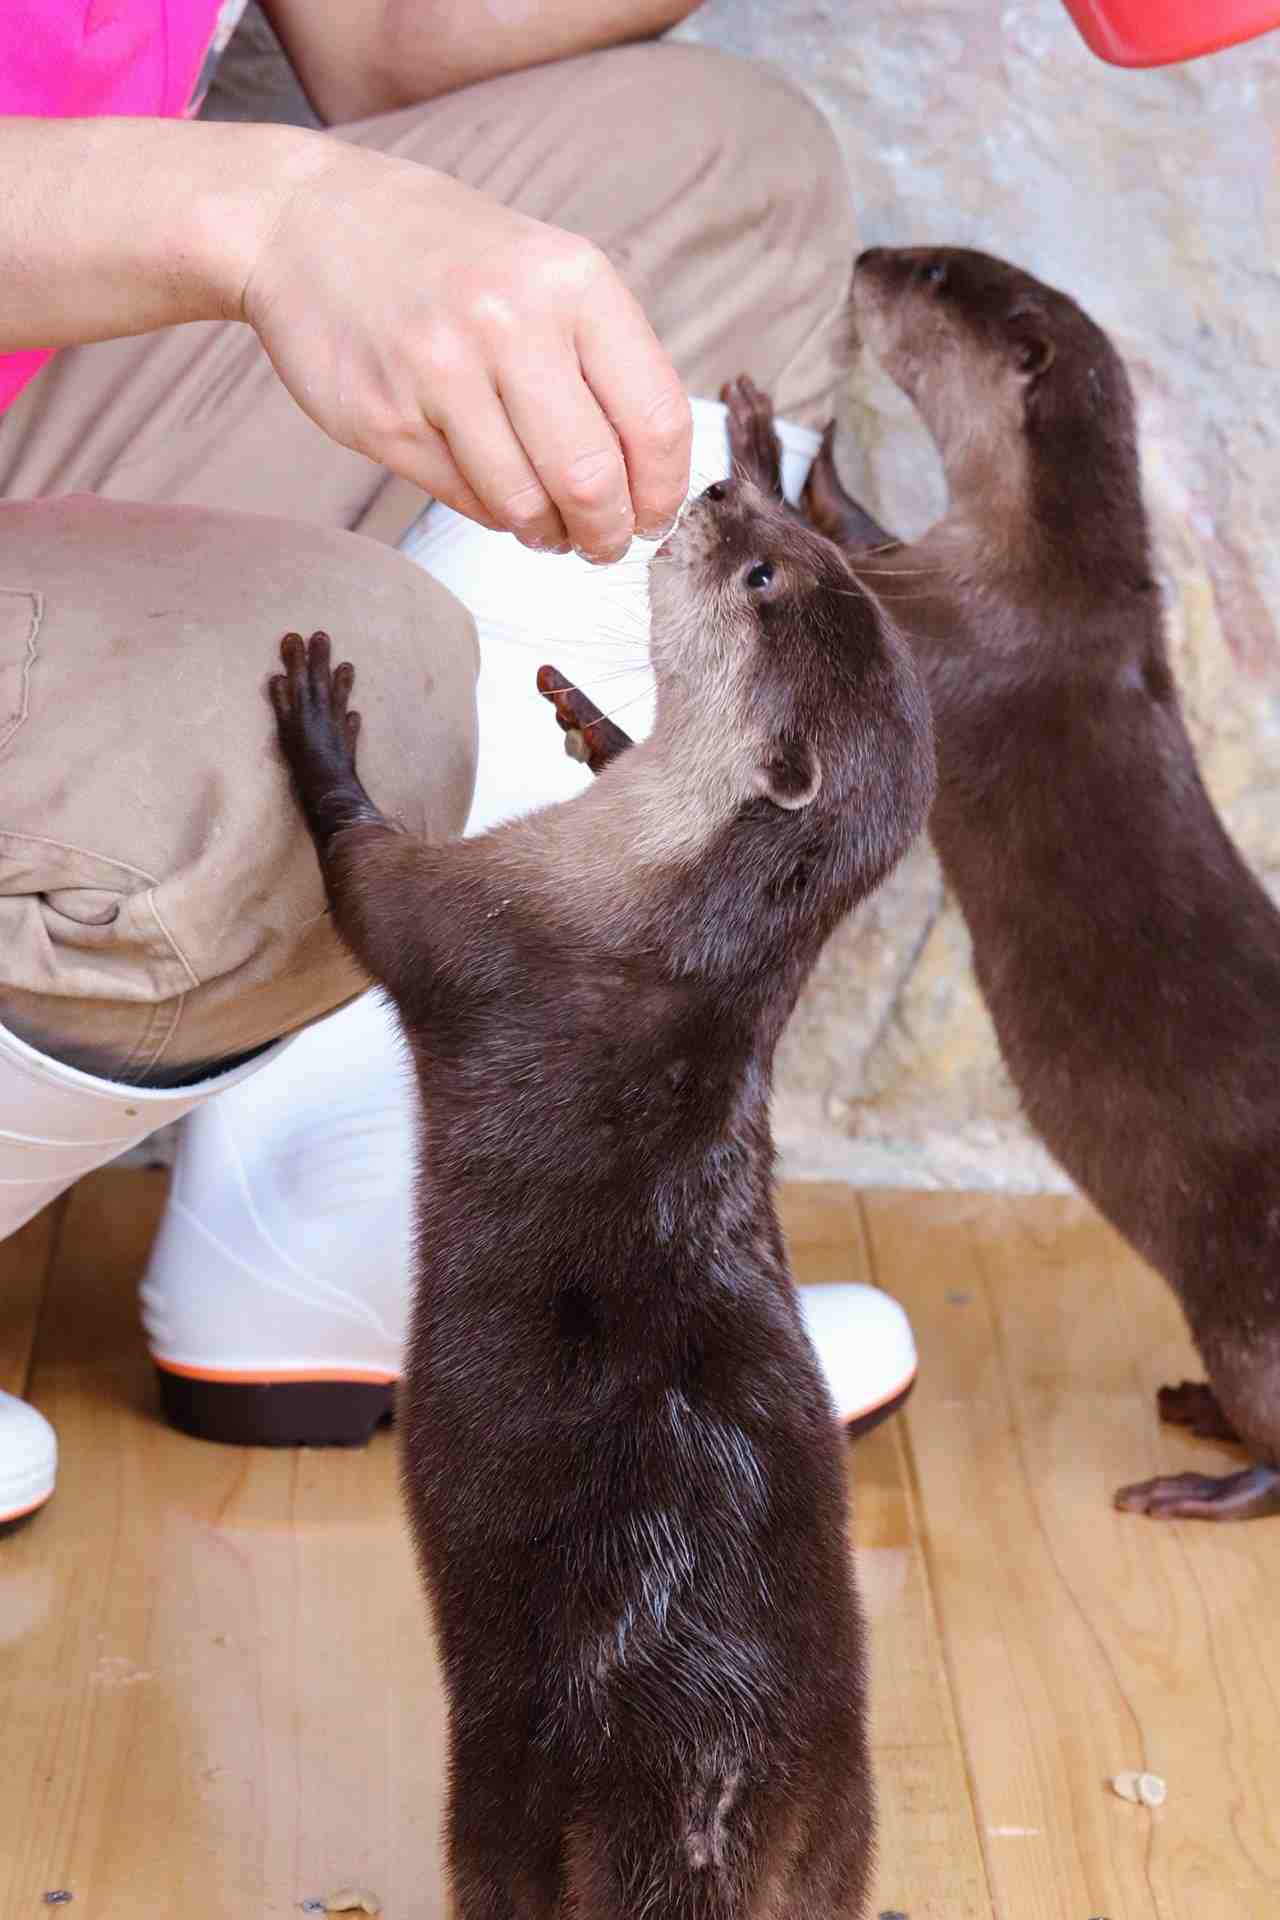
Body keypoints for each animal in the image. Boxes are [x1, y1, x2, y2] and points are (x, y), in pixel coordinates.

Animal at [270, 468, 936, 1920]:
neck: (668, 923)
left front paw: (321, 729)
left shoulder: (486, 916)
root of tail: (704, 1789)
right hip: (843, 1826)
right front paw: (594, 721)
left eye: (759, 576)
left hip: (502, 1799)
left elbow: (369, 887)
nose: (722, 484)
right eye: (789, 542)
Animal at [694, 251, 1280, 1528]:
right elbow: (858, 532)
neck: (1043, 574)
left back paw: (1198, 1481)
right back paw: (1190, 1408)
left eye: (931, 273)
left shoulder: (954, 625)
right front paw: (819, 466)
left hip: (1243, 1299)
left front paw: (759, 450)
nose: (869, 260)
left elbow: (832, 572)